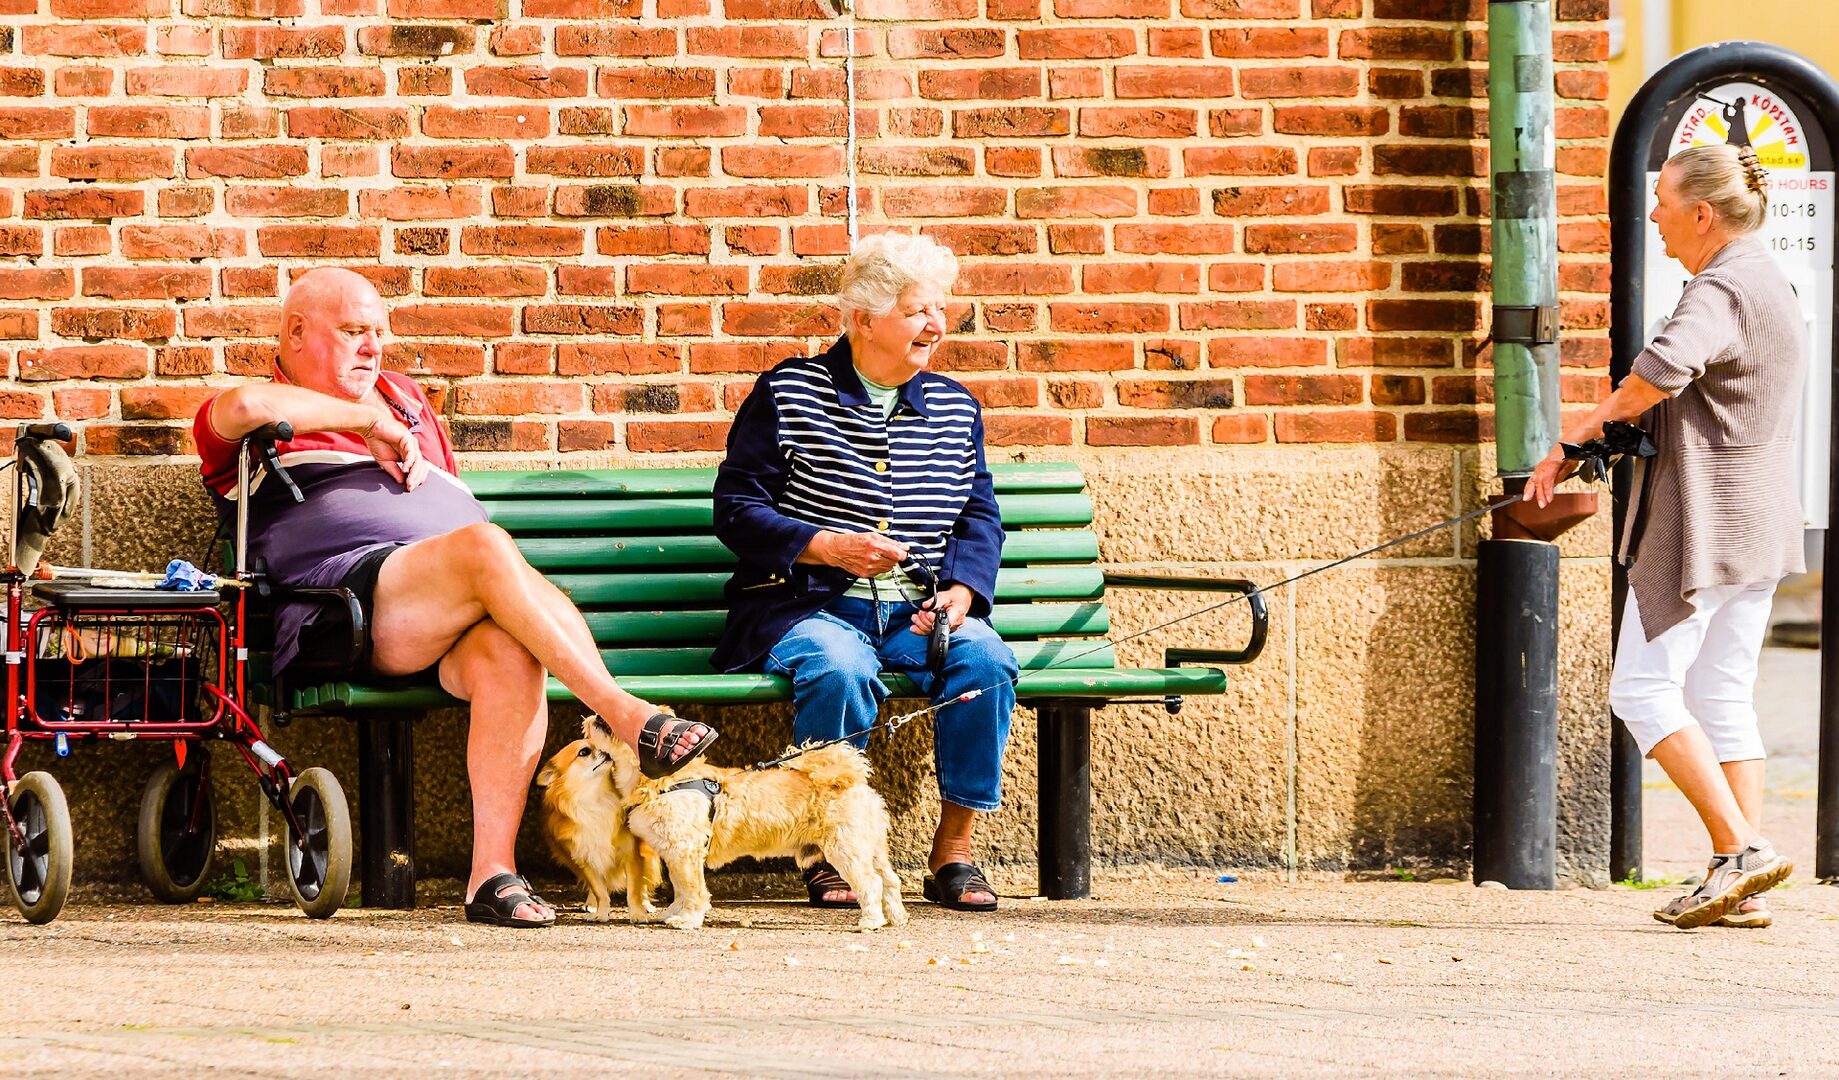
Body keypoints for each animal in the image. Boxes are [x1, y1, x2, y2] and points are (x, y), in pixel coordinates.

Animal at [535, 737, 662, 923]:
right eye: (584, 752)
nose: (606, 750)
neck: (596, 799)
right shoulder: (584, 861)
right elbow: (599, 890)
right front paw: (601, 912)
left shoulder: (632, 855)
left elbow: (634, 889)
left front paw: (637, 913)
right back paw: (591, 903)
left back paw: (646, 904)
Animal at [581, 715, 908, 932]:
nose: (597, 715)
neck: (665, 782)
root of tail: (848, 778)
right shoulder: (674, 854)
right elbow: (680, 887)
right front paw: (674, 912)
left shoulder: (685, 851)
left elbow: (692, 888)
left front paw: (688, 919)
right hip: (871, 849)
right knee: (890, 882)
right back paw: (896, 917)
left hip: (845, 850)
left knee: (871, 883)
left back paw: (870, 921)